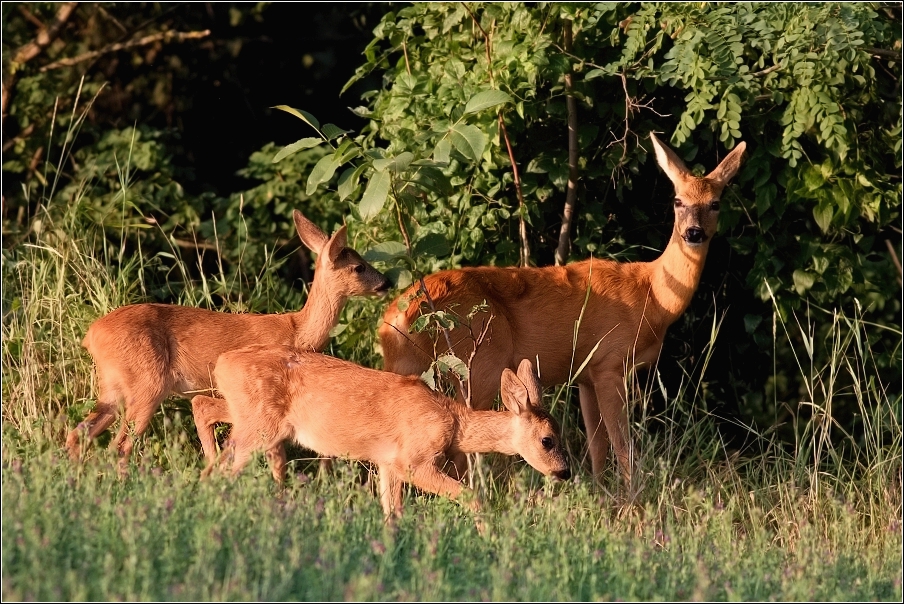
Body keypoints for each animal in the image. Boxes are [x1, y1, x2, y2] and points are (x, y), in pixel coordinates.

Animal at [66, 210, 384, 470]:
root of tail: (91, 335)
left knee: (79, 434)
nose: (386, 282)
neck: (297, 330)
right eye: (359, 266)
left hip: (112, 387)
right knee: (119, 445)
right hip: (147, 382)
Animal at [192, 352, 572, 520]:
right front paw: (488, 535)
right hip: (259, 426)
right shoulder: (413, 460)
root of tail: (222, 362)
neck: (453, 422)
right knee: (216, 471)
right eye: (548, 440)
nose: (565, 472)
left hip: (252, 418)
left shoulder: (388, 464)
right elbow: (471, 495)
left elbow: (393, 513)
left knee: (202, 407)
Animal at [378, 134, 744, 484]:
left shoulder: (585, 374)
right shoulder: (610, 362)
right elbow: (623, 447)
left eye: (715, 203)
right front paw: (632, 499)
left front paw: (602, 496)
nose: (693, 232)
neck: (652, 297)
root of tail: (396, 318)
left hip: (411, 365)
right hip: (479, 362)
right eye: (678, 201)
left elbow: (598, 449)